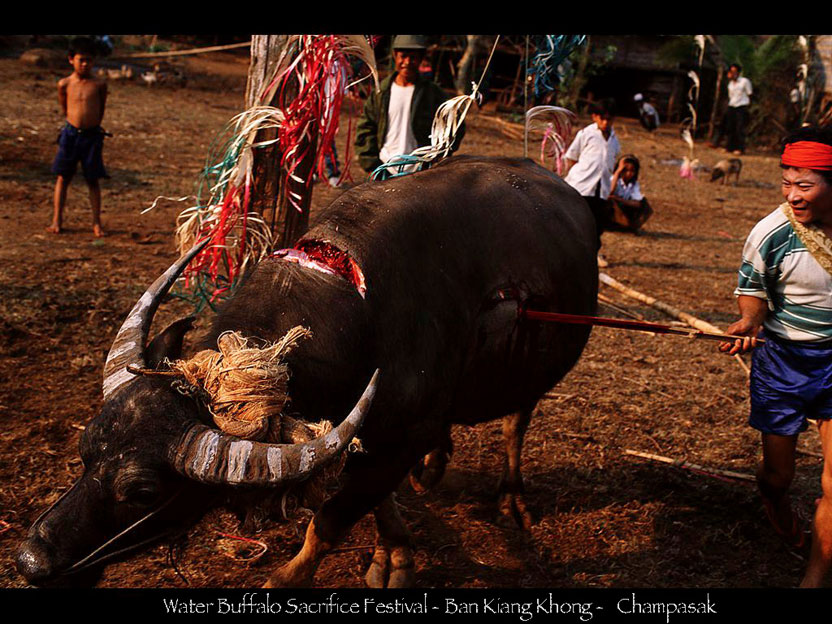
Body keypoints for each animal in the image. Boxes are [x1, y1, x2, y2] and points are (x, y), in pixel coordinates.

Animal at [17, 155, 600, 584]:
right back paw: (435, 466)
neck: (365, 313)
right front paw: (394, 554)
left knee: (516, 421)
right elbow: (376, 498)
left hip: (536, 372)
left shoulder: (402, 435)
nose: (30, 561)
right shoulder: (378, 441)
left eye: (143, 492)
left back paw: (511, 497)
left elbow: (325, 529)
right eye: (84, 450)